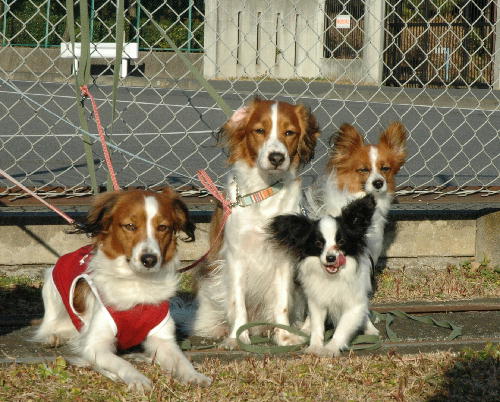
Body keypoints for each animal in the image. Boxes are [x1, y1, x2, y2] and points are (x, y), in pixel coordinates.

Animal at [34, 189, 211, 392]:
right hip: (51, 287)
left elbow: (181, 361)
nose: (149, 259)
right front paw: (138, 379)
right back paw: (54, 336)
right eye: (130, 226)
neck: (136, 281)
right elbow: (122, 363)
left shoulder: (163, 340)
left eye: (163, 227)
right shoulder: (96, 346)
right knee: (52, 325)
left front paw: (194, 375)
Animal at [193, 97, 318, 348]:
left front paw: (283, 336)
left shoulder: (283, 258)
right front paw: (237, 338)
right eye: (260, 131)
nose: (277, 158)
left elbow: (282, 303)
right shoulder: (236, 257)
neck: (263, 192)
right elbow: (237, 303)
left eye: (289, 132)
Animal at [270, 196, 378, 356]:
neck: (333, 276)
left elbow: (343, 328)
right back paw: (306, 328)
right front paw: (315, 347)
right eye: (318, 243)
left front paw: (330, 348)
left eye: (341, 242)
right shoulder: (317, 301)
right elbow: (317, 326)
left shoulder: (354, 304)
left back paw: (370, 329)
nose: (331, 258)